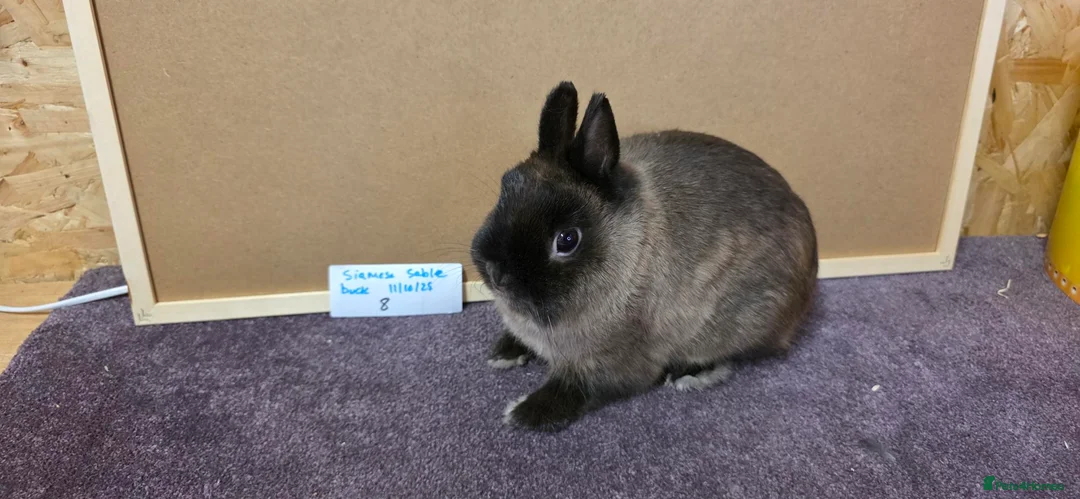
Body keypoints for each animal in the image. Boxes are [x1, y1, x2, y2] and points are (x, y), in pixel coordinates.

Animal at [470, 81, 818, 432]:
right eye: (505, 188)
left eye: (567, 240)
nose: (497, 273)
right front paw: (503, 354)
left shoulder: (610, 364)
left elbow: (576, 389)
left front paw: (521, 413)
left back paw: (690, 374)